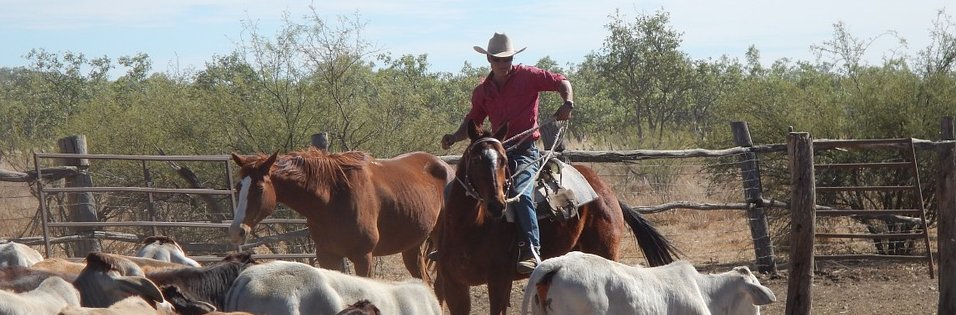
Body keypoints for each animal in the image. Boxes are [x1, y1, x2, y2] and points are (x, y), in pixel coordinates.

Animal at [232, 149, 456, 280]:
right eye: (238, 187)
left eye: (259, 188)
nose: (236, 230)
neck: (333, 198)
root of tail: (446, 167)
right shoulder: (327, 257)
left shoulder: (363, 257)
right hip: (411, 246)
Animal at [434, 119, 680, 314]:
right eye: (476, 160)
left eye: (503, 160)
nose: (497, 205)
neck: (470, 228)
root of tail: (605, 191)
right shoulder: (454, 285)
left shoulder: (499, 283)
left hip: (606, 250)